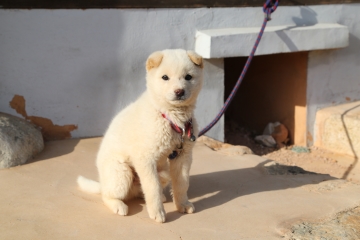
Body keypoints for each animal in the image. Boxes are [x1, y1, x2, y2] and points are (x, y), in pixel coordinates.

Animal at [76, 48, 202, 223]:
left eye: (188, 77)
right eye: (165, 77)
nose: (179, 91)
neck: (169, 116)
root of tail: (102, 183)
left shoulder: (183, 156)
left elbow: (182, 184)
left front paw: (182, 204)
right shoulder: (146, 159)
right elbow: (153, 187)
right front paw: (157, 213)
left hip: (163, 173)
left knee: (142, 190)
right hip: (121, 174)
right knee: (107, 195)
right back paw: (118, 205)